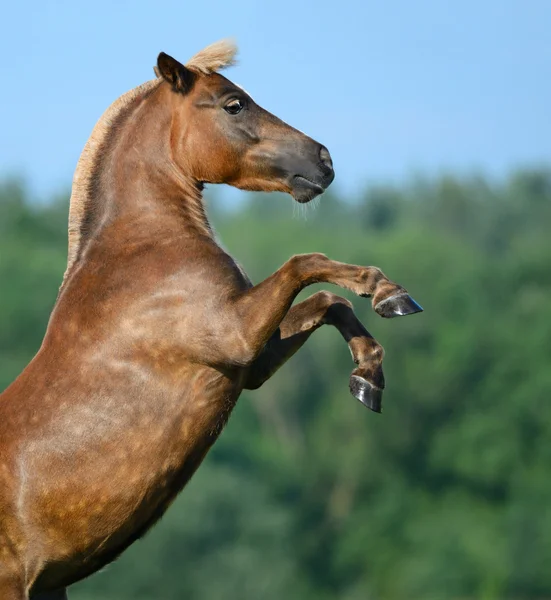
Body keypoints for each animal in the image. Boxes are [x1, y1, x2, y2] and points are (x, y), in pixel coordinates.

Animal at [0, 39, 422, 596]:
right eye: (233, 104)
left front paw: (369, 375)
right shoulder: (234, 336)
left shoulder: (250, 362)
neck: (146, 248)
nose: (324, 161)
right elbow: (306, 264)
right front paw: (386, 291)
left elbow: (331, 304)